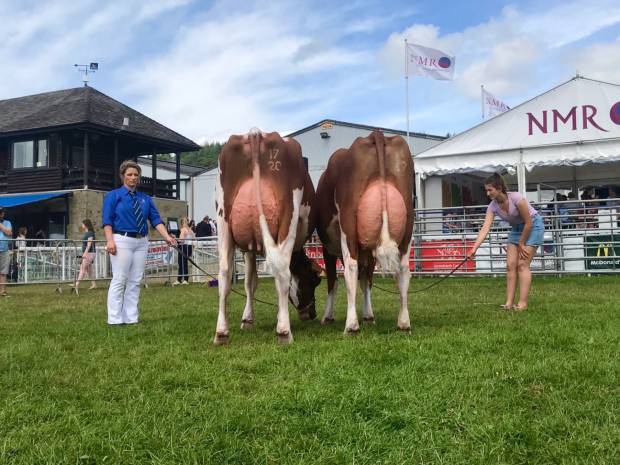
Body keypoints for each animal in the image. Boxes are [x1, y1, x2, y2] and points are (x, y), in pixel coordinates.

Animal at [213, 129, 320, 342]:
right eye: (314, 281)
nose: (312, 314)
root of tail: (256, 133)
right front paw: (278, 319)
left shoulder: (249, 248)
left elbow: (250, 282)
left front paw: (247, 320)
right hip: (288, 215)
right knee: (282, 271)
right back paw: (284, 331)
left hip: (223, 220)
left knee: (224, 273)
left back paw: (221, 332)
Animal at [318, 130, 414, 334]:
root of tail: (375, 134)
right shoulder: (368, 249)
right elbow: (367, 281)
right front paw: (369, 315)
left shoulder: (327, 247)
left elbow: (333, 281)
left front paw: (328, 316)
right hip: (408, 223)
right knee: (403, 268)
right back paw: (403, 322)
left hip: (347, 225)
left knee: (351, 269)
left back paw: (351, 325)